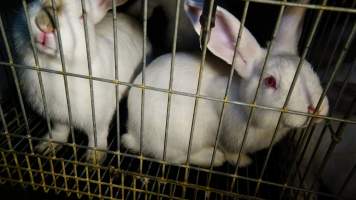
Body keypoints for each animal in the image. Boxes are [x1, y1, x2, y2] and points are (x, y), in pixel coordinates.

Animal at [13, 0, 150, 163]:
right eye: (34, 2)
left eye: (82, 16)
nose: (44, 24)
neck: (52, 65)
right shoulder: (58, 115)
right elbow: (60, 130)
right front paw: (47, 146)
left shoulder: (99, 117)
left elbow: (97, 136)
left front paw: (94, 158)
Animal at [122, 0, 328, 167]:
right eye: (270, 81)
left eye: (310, 68)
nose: (316, 109)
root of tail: (133, 132)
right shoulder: (228, 139)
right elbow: (232, 154)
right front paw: (244, 162)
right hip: (177, 138)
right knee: (174, 158)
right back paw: (212, 158)